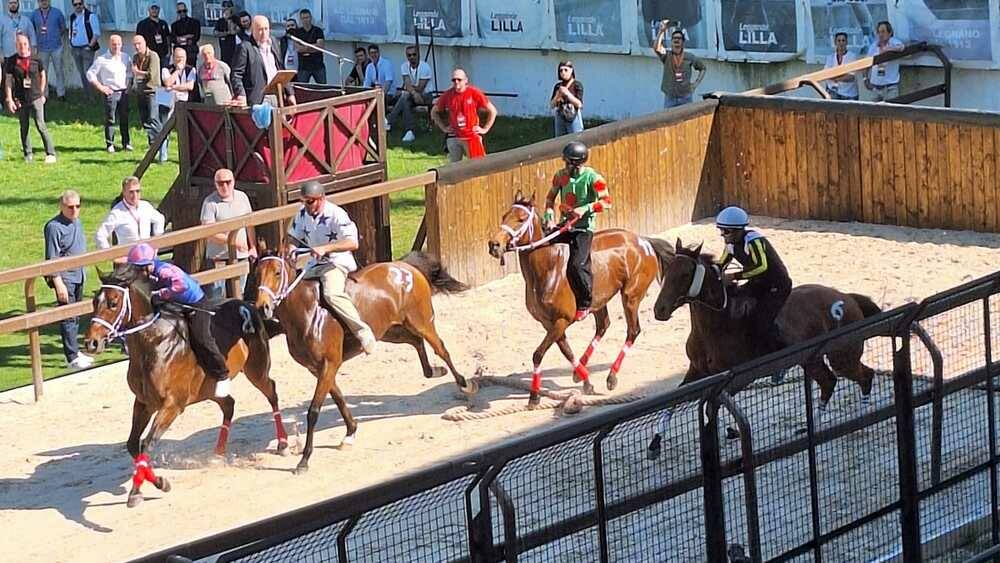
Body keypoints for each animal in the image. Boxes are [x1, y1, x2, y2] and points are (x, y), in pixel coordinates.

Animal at [83, 266, 288, 508]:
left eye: (113, 302)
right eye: (94, 301)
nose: (91, 343)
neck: (153, 344)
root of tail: (247, 304)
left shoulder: (172, 405)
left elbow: (147, 444)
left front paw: (139, 490)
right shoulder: (143, 402)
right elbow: (133, 445)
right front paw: (155, 483)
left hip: (256, 369)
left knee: (271, 392)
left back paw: (282, 443)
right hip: (209, 388)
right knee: (229, 404)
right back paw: (217, 454)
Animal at [244, 249, 474, 474]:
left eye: (277, 273)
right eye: (256, 275)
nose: (263, 307)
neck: (308, 312)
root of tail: (404, 266)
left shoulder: (328, 364)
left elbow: (314, 411)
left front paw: (304, 460)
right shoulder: (319, 369)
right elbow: (338, 398)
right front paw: (350, 433)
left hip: (422, 321)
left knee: (440, 349)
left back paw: (465, 384)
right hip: (389, 331)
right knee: (416, 342)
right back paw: (435, 371)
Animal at [486, 192, 672, 408]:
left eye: (521, 219)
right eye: (504, 216)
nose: (494, 245)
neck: (547, 267)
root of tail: (644, 241)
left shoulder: (562, 320)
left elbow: (538, 354)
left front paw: (534, 395)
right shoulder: (548, 323)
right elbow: (566, 351)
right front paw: (585, 380)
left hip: (631, 295)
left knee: (633, 330)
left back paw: (611, 377)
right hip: (598, 300)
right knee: (603, 325)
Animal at [652, 240, 880, 408]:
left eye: (685, 274)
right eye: (667, 270)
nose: (659, 310)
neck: (717, 325)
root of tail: (846, 297)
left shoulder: (739, 379)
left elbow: (712, 407)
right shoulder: (695, 373)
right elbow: (669, 408)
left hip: (842, 356)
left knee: (864, 376)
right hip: (813, 359)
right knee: (830, 382)